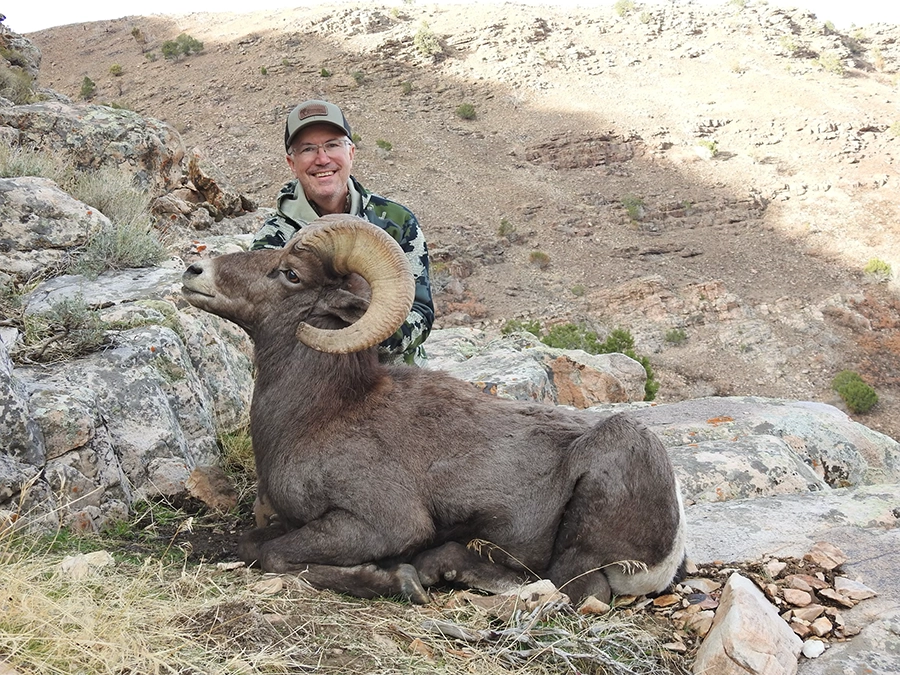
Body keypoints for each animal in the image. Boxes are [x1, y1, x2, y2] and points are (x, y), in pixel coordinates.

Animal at [183, 215, 688, 604]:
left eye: (290, 274)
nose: (194, 269)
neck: (319, 414)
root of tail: (671, 549)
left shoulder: (382, 524)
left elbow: (274, 555)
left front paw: (392, 579)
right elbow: (253, 544)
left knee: (567, 587)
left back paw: (432, 571)